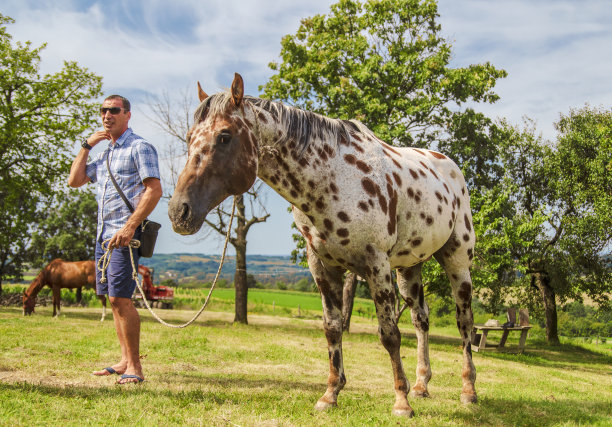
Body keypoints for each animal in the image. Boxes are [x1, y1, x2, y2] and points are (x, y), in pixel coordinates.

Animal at [166, 74, 478, 418]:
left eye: (224, 136)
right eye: (189, 136)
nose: (179, 212)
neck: (334, 178)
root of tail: (451, 167)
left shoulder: (376, 264)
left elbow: (389, 335)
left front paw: (401, 401)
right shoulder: (323, 266)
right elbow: (332, 328)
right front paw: (331, 394)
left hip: (457, 261)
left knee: (464, 322)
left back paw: (468, 390)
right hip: (410, 267)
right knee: (421, 320)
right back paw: (422, 385)